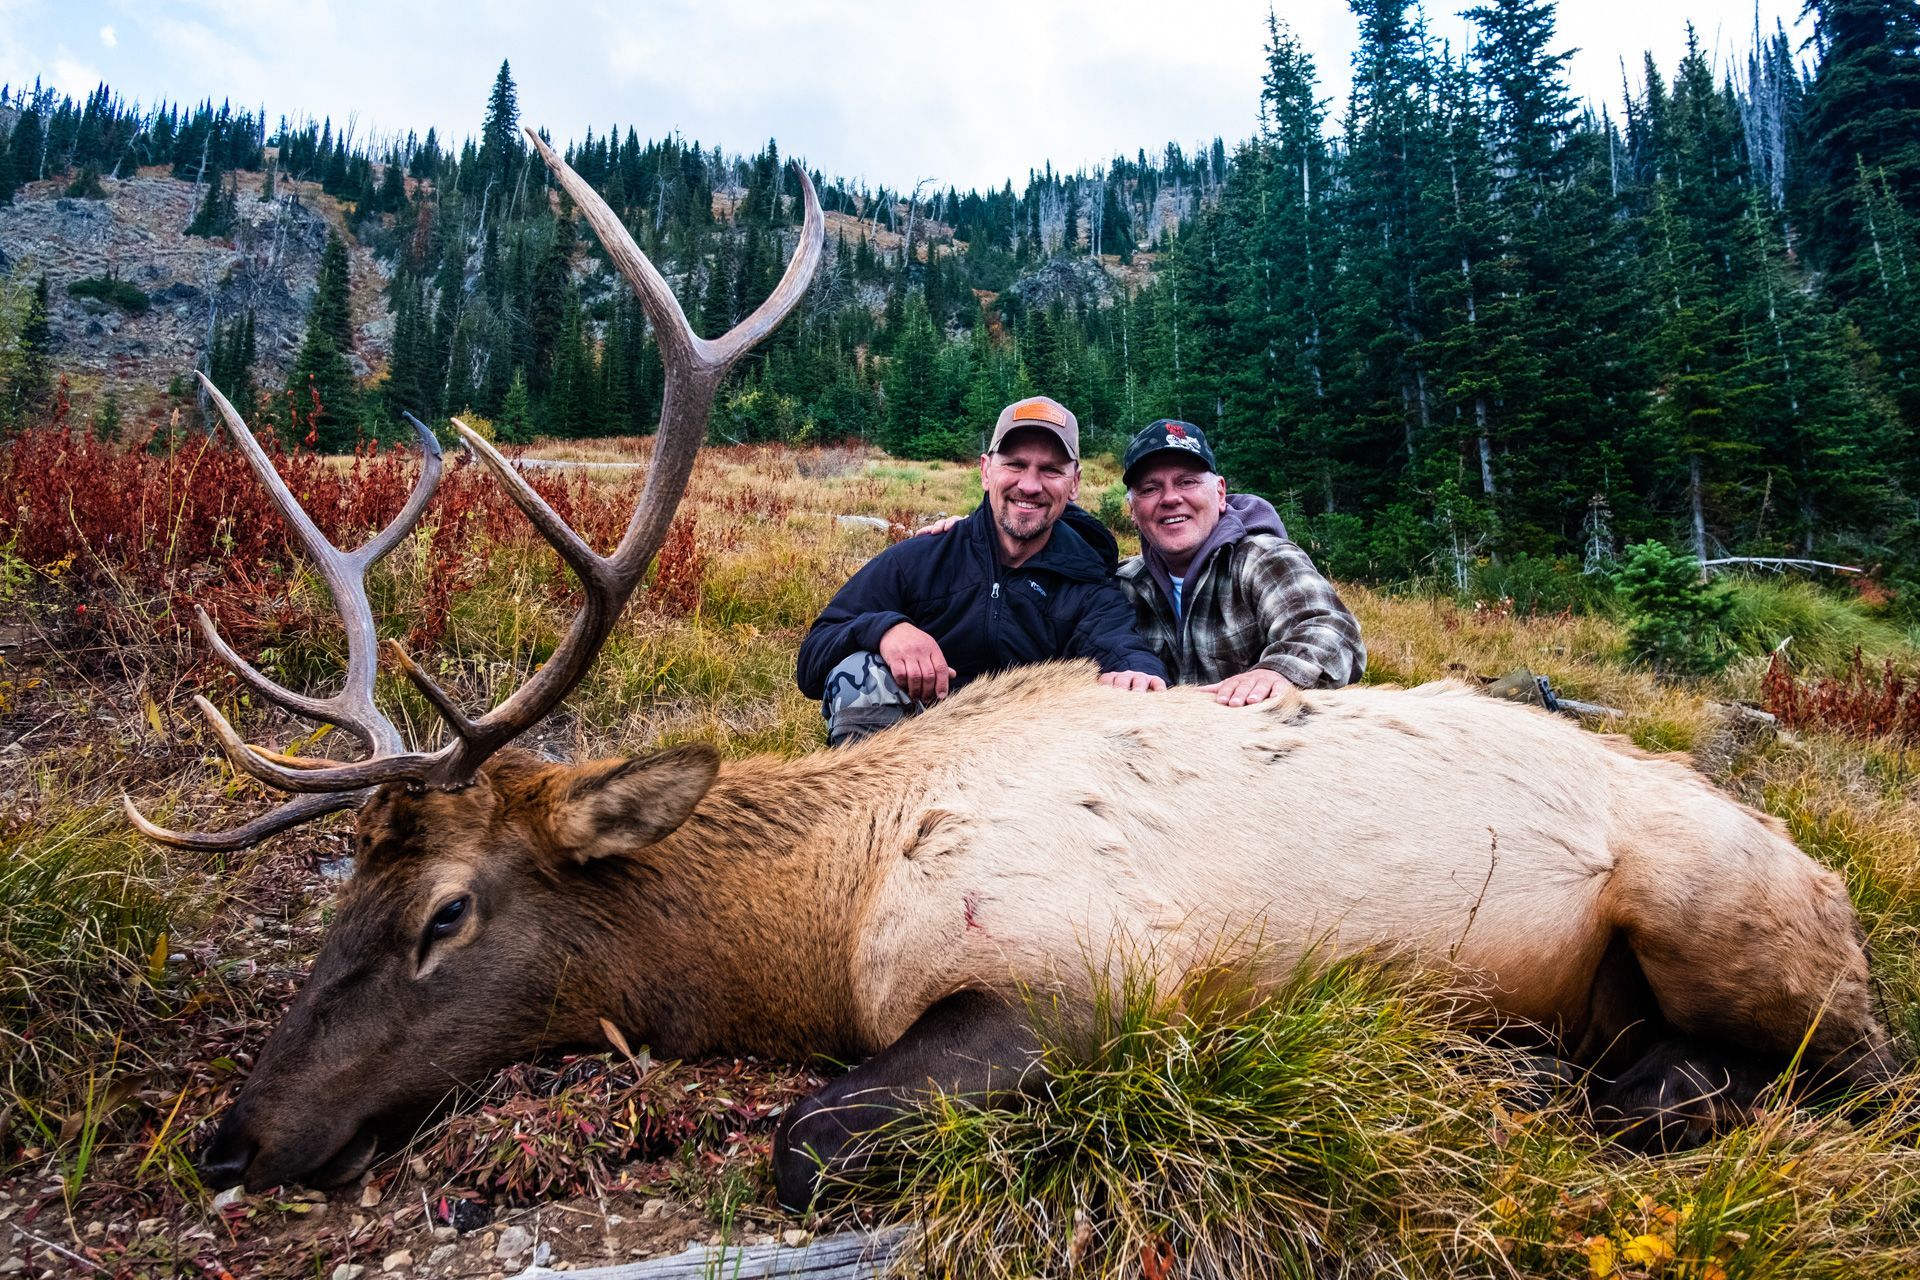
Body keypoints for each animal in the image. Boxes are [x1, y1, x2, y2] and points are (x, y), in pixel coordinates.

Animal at [128, 125, 1904, 1214]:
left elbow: (810, 1139)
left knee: (1857, 1075)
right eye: (345, 896)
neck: (817, 920)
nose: (233, 1135)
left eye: (447, 915)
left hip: (1729, 918)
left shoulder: (1079, 973)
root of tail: (1824, 871)